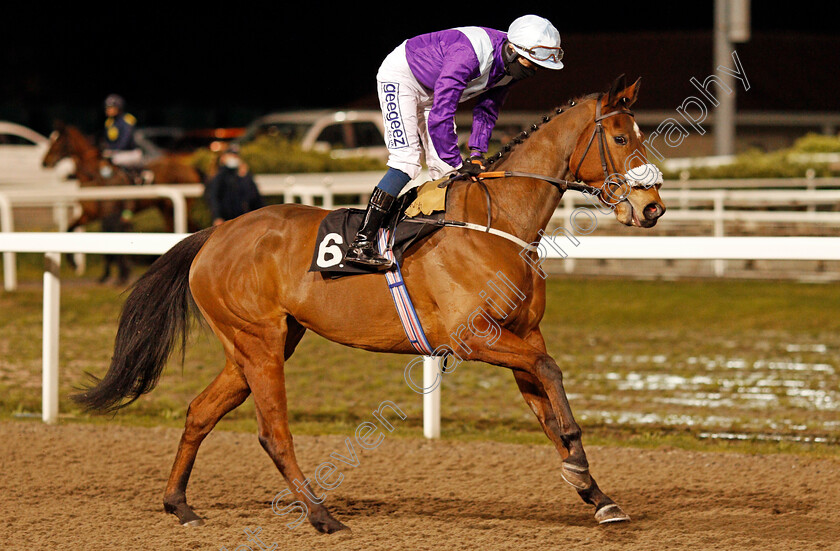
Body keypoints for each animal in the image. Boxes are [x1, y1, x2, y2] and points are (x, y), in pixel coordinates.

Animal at [74, 75, 664, 532]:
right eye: (620, 135)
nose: (652, 206)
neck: (495, 221)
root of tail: (214, 233)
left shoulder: (520, 333)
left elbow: (545, 398)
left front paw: (596, 493)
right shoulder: (474, 339)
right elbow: (551, 371)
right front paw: (578, 460)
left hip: (258, 344)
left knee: (200, 410)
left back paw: (179, 504)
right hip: (258, 341)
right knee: (273, 432)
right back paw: (320, 514)